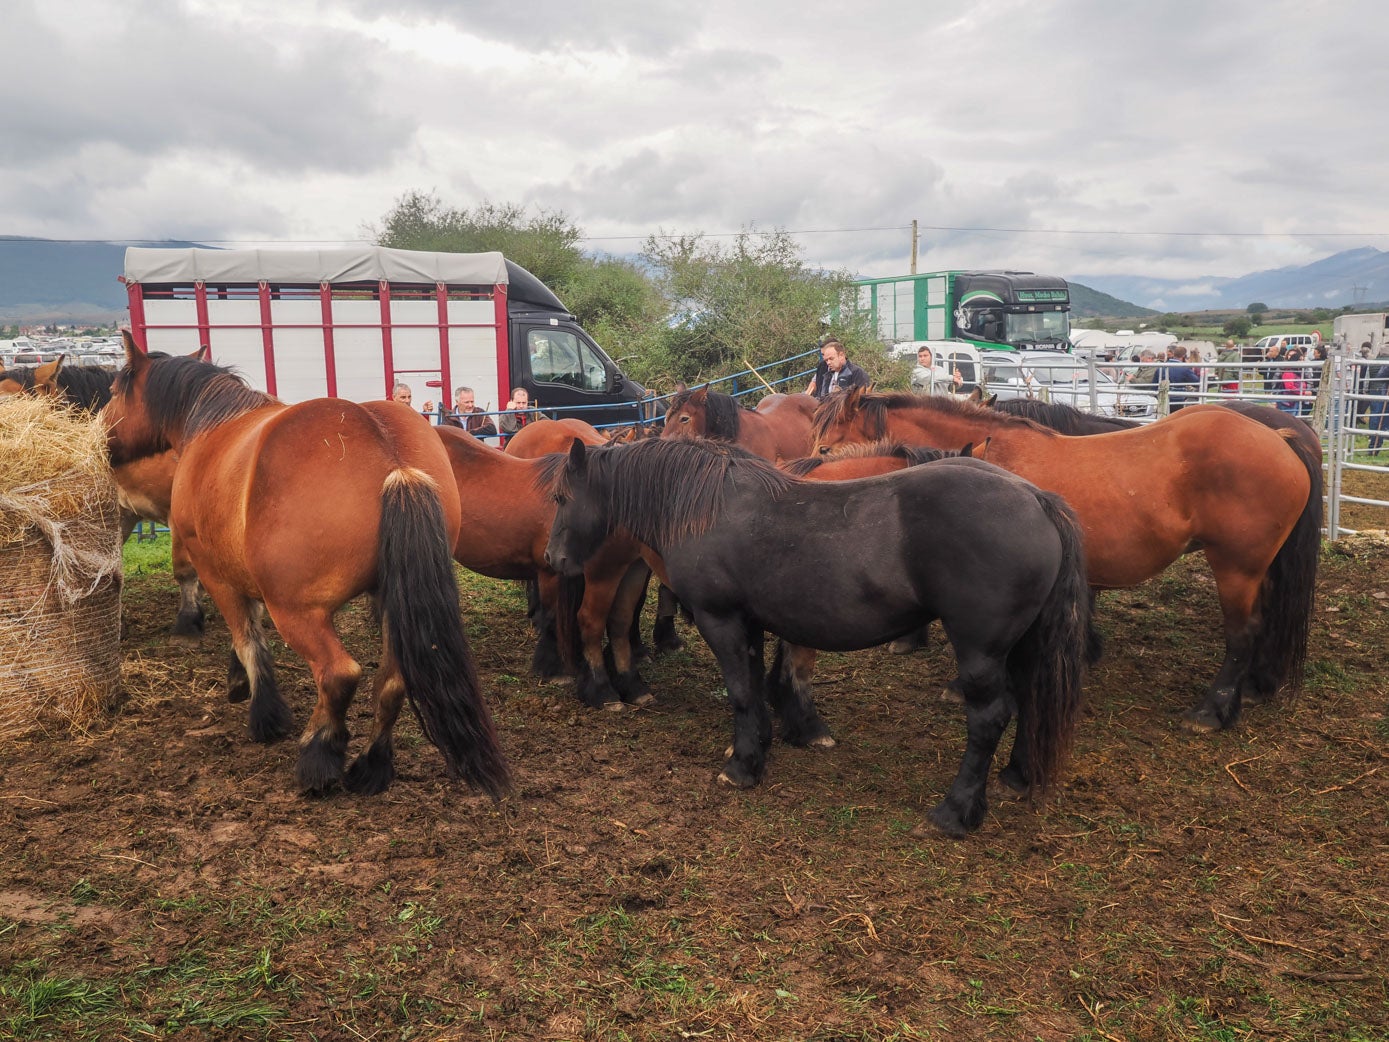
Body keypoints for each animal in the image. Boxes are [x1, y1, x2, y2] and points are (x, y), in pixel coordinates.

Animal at [102, 338, 508, 794]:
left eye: (114, 390)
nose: (98, 435)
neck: (212, 424)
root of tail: (392, 457)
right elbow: (249, 630)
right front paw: (238, 680)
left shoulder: (215, 572)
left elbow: (248, 638)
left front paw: (264, 713)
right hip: (392, 601)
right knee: (391, 682)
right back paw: (372, 766)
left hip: (299, 613)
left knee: (338, 674)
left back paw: (318, 754)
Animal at [544, 439, 1094, 839]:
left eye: (561, 498)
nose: (553, 559)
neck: (709, 506)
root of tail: (1037, 499)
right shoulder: (750, 623)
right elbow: (755, 691)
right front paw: (760, 747)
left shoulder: (720, 620)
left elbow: (740, 693)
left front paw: (742, 767)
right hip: (1020, 647)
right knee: (1028, 699)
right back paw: (1016, 778)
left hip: (980, 652)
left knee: (989, 717)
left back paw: (956, 812)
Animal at [811, 389, 1322, 733]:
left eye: (825, 447)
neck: (992, 455)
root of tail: (1279, 437)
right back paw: (1255, 687)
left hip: (1236, 569)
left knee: (1243, 633)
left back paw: (1212, 710)